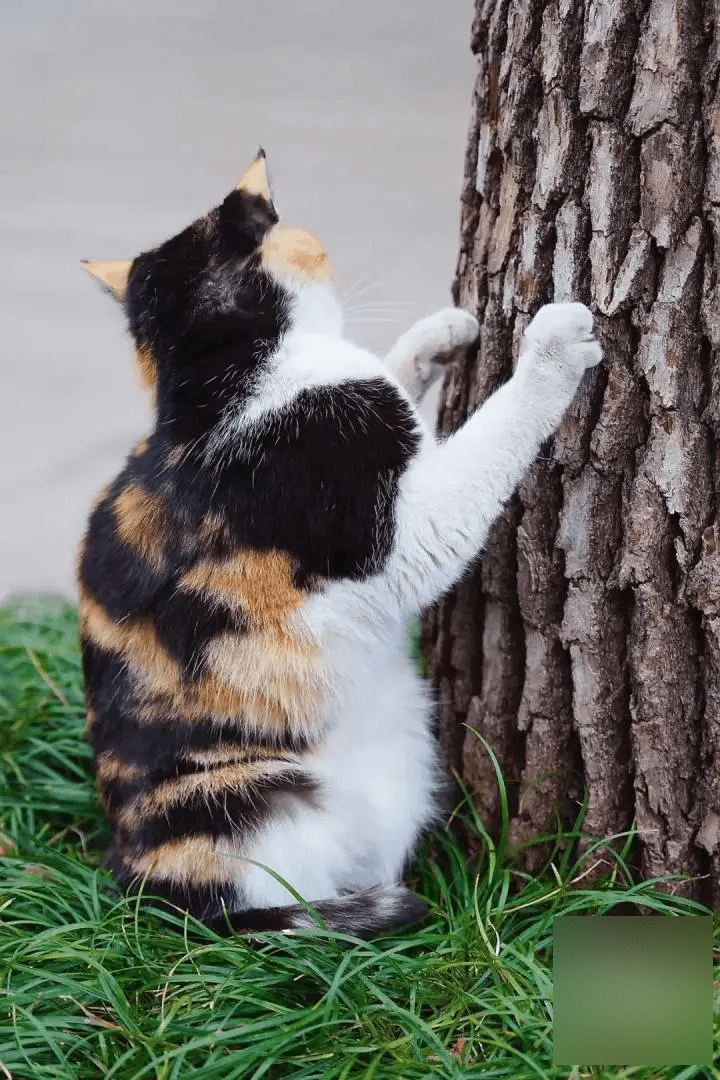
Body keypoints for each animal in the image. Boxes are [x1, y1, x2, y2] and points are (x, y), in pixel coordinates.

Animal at [77, 152, 604, 937]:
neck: (222, 386)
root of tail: (142, 885)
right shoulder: (402, 527)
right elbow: (488, 441)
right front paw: (554, 346)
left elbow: (405, 391)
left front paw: (440, 333)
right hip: (241, 803)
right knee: (290, 911)